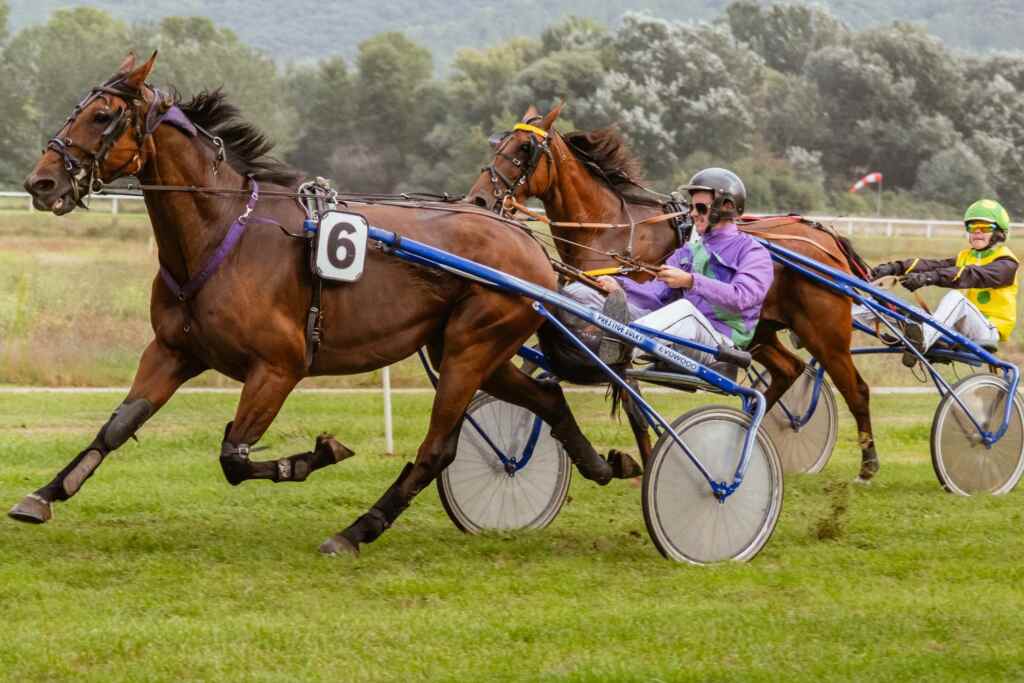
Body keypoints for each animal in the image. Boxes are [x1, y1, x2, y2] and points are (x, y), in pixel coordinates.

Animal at [13, 53, 619, 556]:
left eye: (101, 116)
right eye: (77, 109)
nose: (40, 182)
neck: (221, 233)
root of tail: (526, 243)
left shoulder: (278, 367)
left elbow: (233, 457)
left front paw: (320, 453)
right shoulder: (172, 351)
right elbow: (118, 426)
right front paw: (44, 494)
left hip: (475, 345)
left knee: (436, 449)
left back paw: (356, 531)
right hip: (466, 350)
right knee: (544, 399)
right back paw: (604, 462)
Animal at [466, 104, 881, 481]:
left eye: (524, 149)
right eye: (499, 142)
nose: (480, 199)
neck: (609, 230)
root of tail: (827, 238)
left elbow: (629, 397)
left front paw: (643, 462)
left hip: (823, 330)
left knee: (856, 388)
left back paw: (867, 464)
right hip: (762, 331)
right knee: (788, 369)